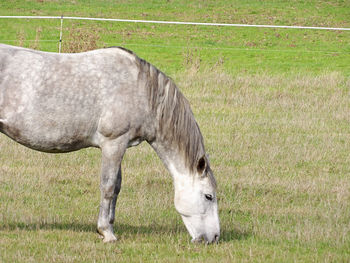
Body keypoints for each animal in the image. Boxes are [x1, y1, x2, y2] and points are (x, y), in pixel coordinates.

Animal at [0, 44, 219, 244]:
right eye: (208, 196)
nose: (214, 238)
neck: (141, 90)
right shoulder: (113, 143)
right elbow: (108, 186)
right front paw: (106, 232)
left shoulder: (120, 145)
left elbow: (117, 187)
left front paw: (110, 226)